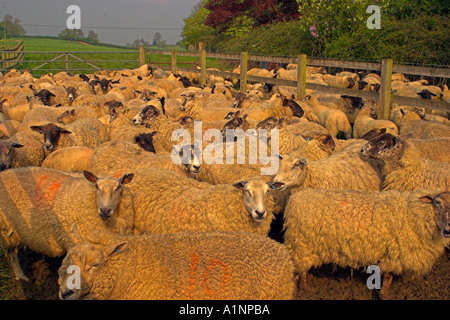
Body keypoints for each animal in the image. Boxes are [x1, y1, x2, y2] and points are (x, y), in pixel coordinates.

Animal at [0, 168, 135, 280]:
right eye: (96, 186)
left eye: (119, 187)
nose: (105, 210)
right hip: (7, 229)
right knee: (12, 255)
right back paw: (21, 276)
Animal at [284, 189, 450, 298]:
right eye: (437, 202)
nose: (448, 228)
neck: (414, 214)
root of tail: (295, 197)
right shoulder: (393, 254)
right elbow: (388, 278)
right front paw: (385, 295)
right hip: (301, 243)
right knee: (298, 270)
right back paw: (299, 290)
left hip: (304, 245)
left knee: (302, 269)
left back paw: (303, 288)